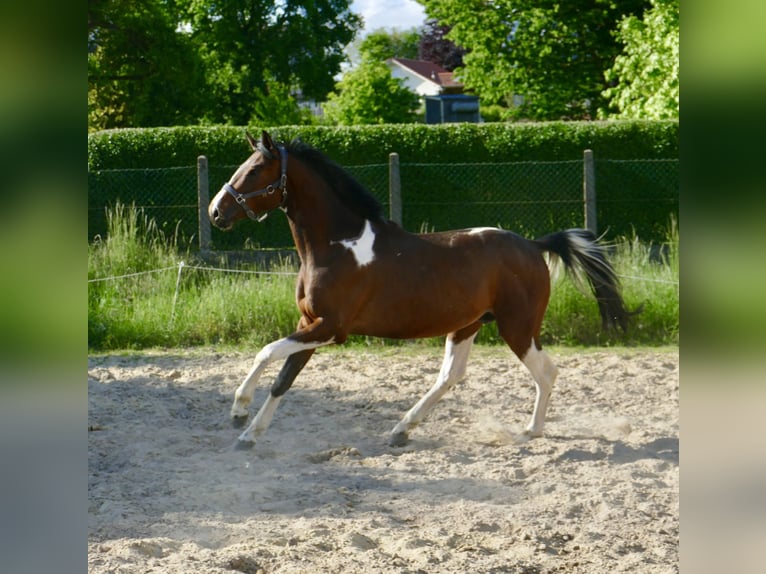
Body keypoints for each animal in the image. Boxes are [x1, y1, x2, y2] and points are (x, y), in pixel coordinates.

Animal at [209, 131, 635, 449]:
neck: (337, 246)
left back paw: (531, 430)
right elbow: (284, 376)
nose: (215, 211)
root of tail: (533, 245)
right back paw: (402, 429)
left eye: (254, 170)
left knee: (547, 372)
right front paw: (249, 434)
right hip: (468, 324)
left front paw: (238, 413)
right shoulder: (309, 323)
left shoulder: (331, 328)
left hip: (517, 328)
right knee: (451, 375)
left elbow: (266, 353)